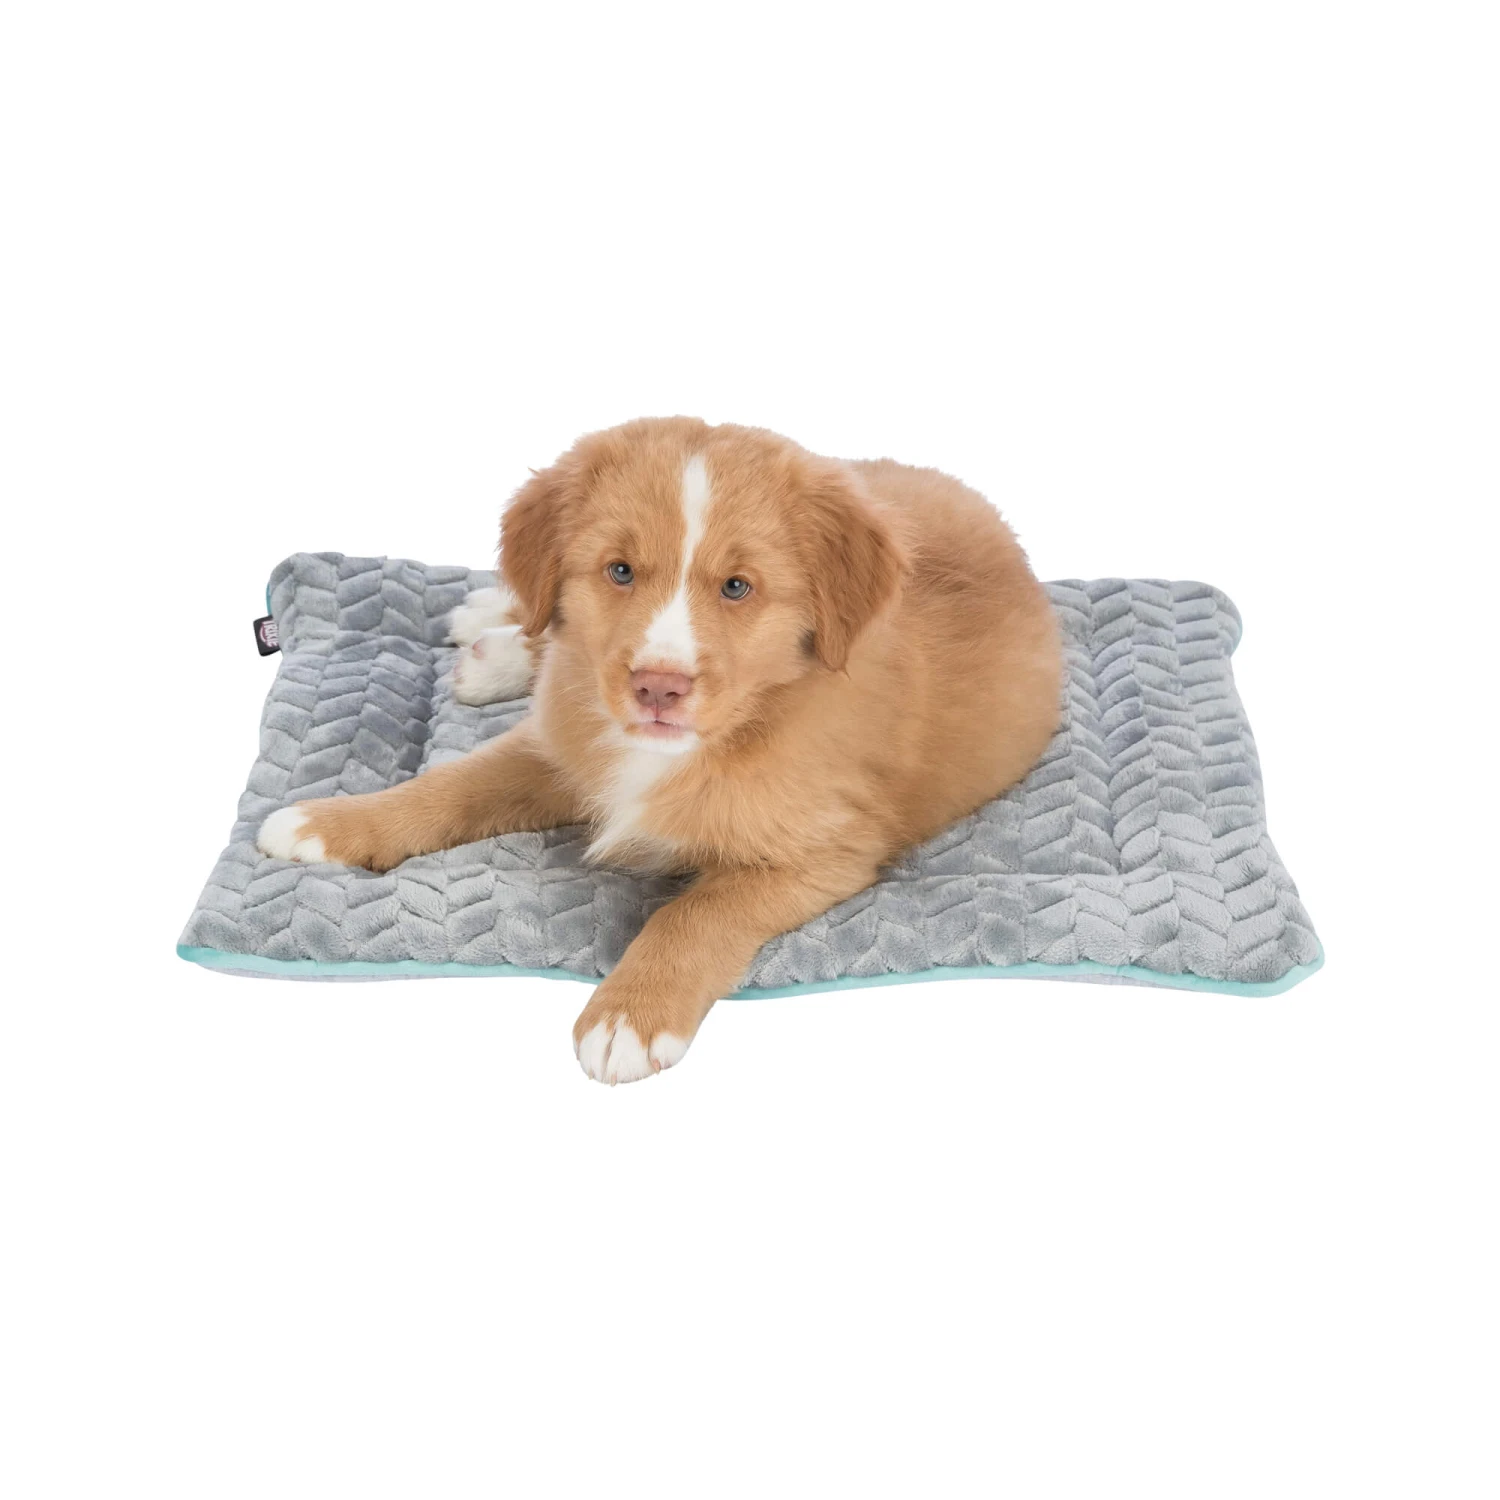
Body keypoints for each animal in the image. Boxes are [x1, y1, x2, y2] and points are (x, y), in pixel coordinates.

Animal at [257, 418, 1064, 1082]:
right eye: (620, 571)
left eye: (737, 587)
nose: (657, 687)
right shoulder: (562, 743)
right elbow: (452, 784)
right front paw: (332, 823)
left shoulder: (825, 852)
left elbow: (693, 913)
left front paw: (629, 1016)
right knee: (537, 619)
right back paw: (493, 633)